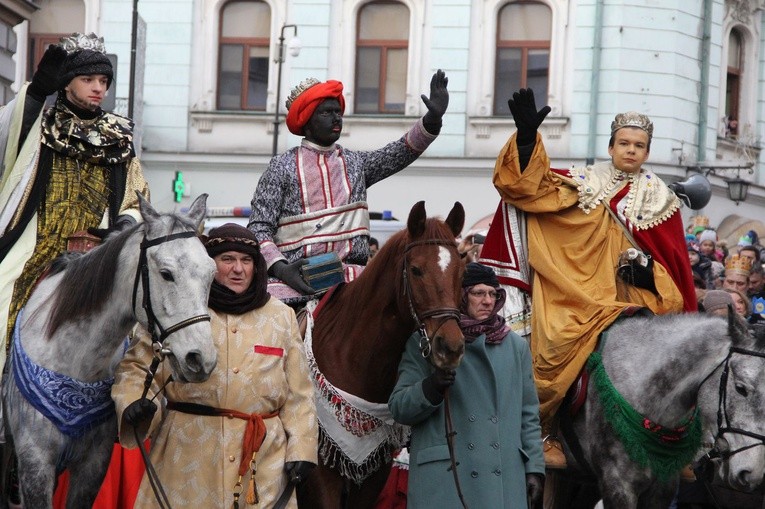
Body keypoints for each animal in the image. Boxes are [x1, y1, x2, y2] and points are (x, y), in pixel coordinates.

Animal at [0, 192, 218, 506]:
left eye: (211, 274)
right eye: (166, 274)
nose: (201, 359)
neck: (75, 364)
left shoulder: (94, 464)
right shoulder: (34, 462)